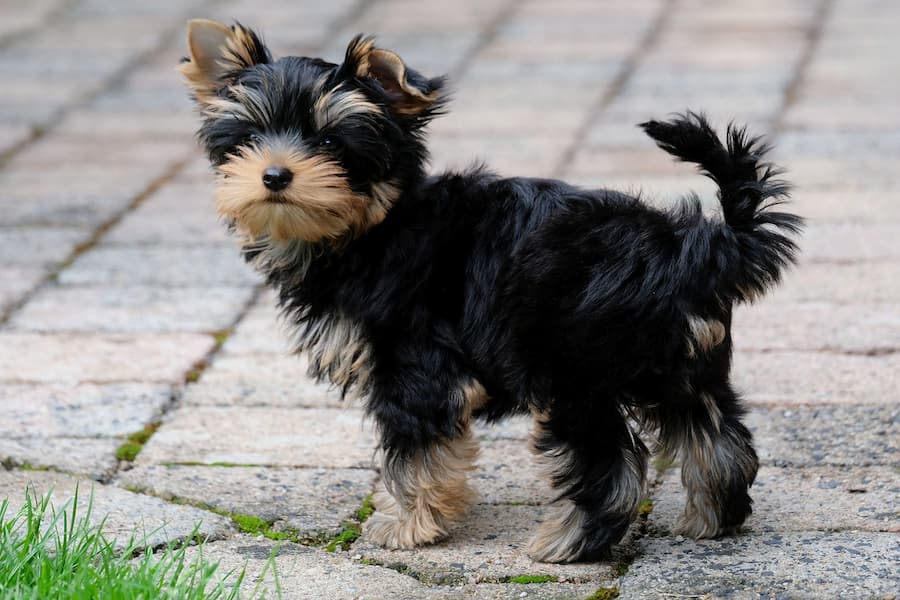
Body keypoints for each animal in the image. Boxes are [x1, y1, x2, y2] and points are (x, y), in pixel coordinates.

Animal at [179, 18, 800, 564]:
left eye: (331, 141)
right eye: (250, 138)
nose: (275, 175)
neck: (370, 226)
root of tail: (689, 245)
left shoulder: (415, 364)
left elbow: (415, 449)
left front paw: (407, 525)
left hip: (575, 368)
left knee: (610, 461)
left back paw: (568, 545)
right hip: (681, 361)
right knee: (717, 433)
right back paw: (711, 521)